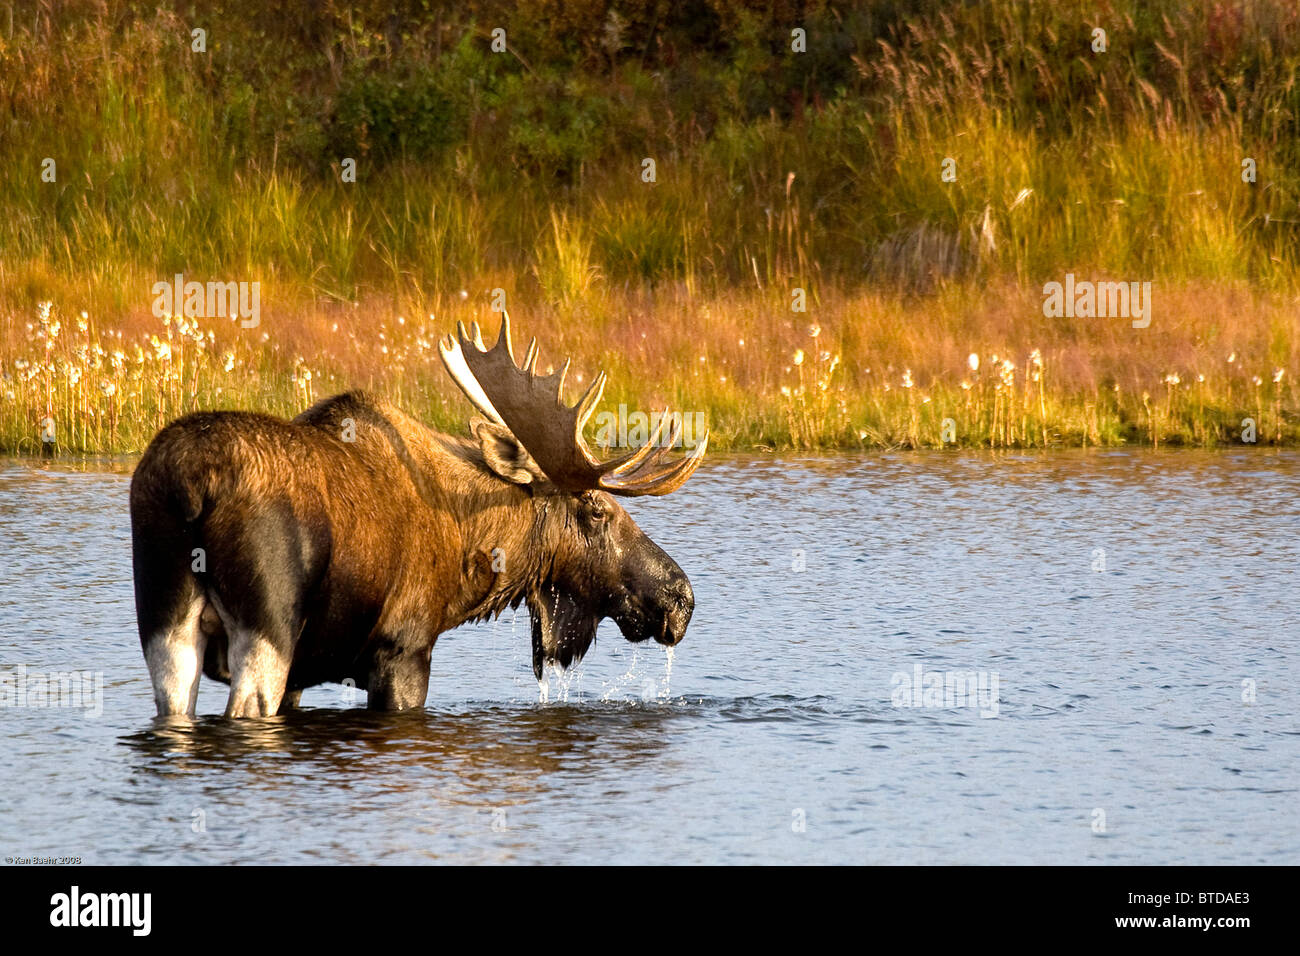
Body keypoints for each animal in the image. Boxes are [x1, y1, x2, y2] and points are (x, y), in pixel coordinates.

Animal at [126, 316, 707, 717]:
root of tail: (192, 486)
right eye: (596, 509)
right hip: (266, 629)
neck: (469, 555)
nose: (681, 597)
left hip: (164, 619)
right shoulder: (403, 651)